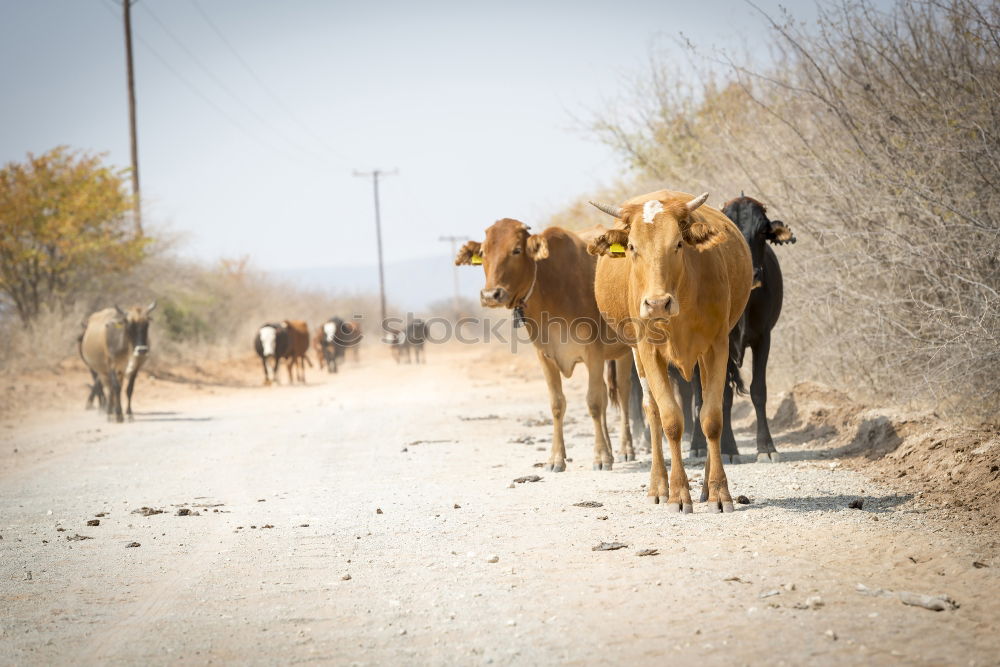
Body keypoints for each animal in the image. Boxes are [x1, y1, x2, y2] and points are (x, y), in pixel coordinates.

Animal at [458, 219, 636, 470]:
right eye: (483, 252)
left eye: (516, 250)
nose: (491, 295)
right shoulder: (545, 356)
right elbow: (557, 404)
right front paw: (556, 458)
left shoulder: (593, 352)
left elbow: (593, 402)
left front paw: (600, 457)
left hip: (624, 351)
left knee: (622, 392)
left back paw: (625, 449)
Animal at [584, 190, 752, 516]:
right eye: (632, 247)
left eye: (677, 244)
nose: (657, 303)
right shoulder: (649, 351)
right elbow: (671, 420)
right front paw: (678, 494)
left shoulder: (717, 345)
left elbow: (712, 418)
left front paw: (719, 492)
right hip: (637, 354)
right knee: (652, 412)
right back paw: (658, 486)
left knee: (705, 404)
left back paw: (704, 489)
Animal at [688, 196, 796, 462]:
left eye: (762, 232)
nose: (752, 274)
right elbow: (723, 396)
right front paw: (727, 448)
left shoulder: (763, 338)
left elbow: (759, 391)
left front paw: (766, 447)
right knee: (698, 395)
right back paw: (698, 445)